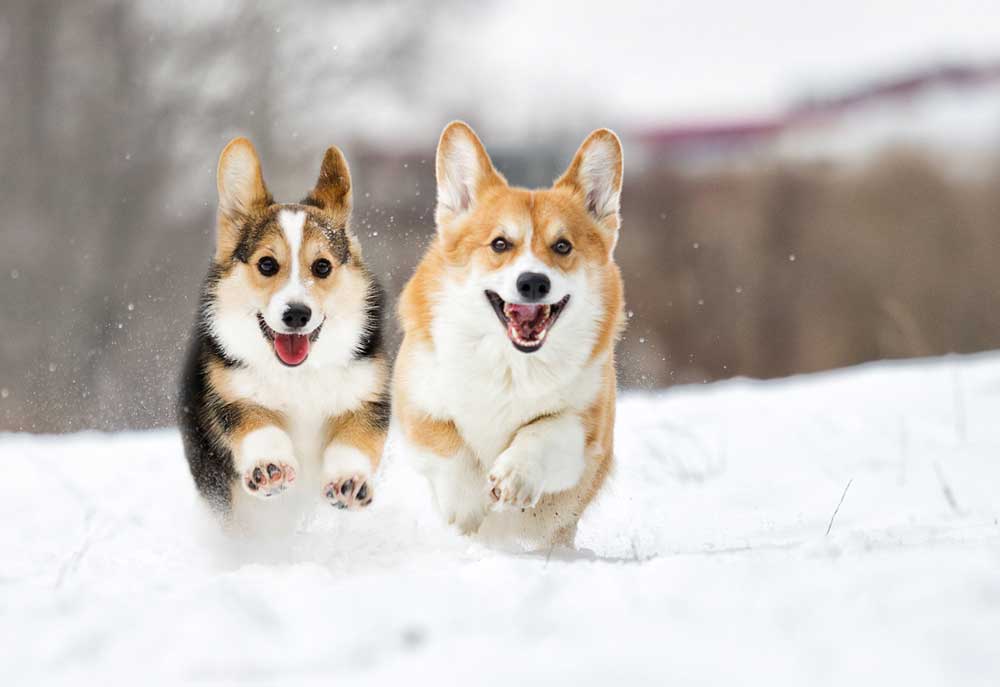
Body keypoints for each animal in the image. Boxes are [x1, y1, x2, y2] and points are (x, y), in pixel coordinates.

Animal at [178, 138, 388, 528]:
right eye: (266, 264)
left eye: (322, 267)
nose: (296, 314)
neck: (299, 374)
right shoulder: (234, 396)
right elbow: (261, 428)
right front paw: (269, 468)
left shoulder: (364, 397)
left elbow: (353, 441)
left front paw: (349, 482)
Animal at [392, 123, 620, 552]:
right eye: (500, 244)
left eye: (562, 246)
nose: (533, 282)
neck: (512, 364)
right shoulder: (419, 406)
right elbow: (451, 449)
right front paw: (468, 506)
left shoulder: (585, 430)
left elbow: (543, 431)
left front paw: (514, 477)